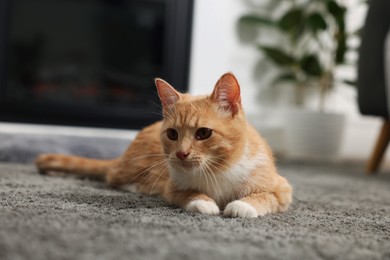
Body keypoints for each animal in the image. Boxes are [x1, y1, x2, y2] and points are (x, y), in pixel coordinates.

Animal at [35, 72, 292, 217]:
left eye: (204, 133)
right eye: (172, 134)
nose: (181, 153)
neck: (217, 170)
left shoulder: (282, 188)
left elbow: (266, 197)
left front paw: (243, 206)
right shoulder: (172, 187)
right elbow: (188, 194)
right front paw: (204, 203)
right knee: (113, 175)